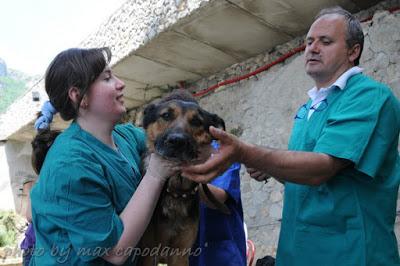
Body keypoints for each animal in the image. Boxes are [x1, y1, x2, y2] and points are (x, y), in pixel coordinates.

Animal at [138, 90, 225, 264]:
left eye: (197, 121)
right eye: (166, 115)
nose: (177, 141)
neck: (175, 191)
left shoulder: (180, 253)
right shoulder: (149, 252)